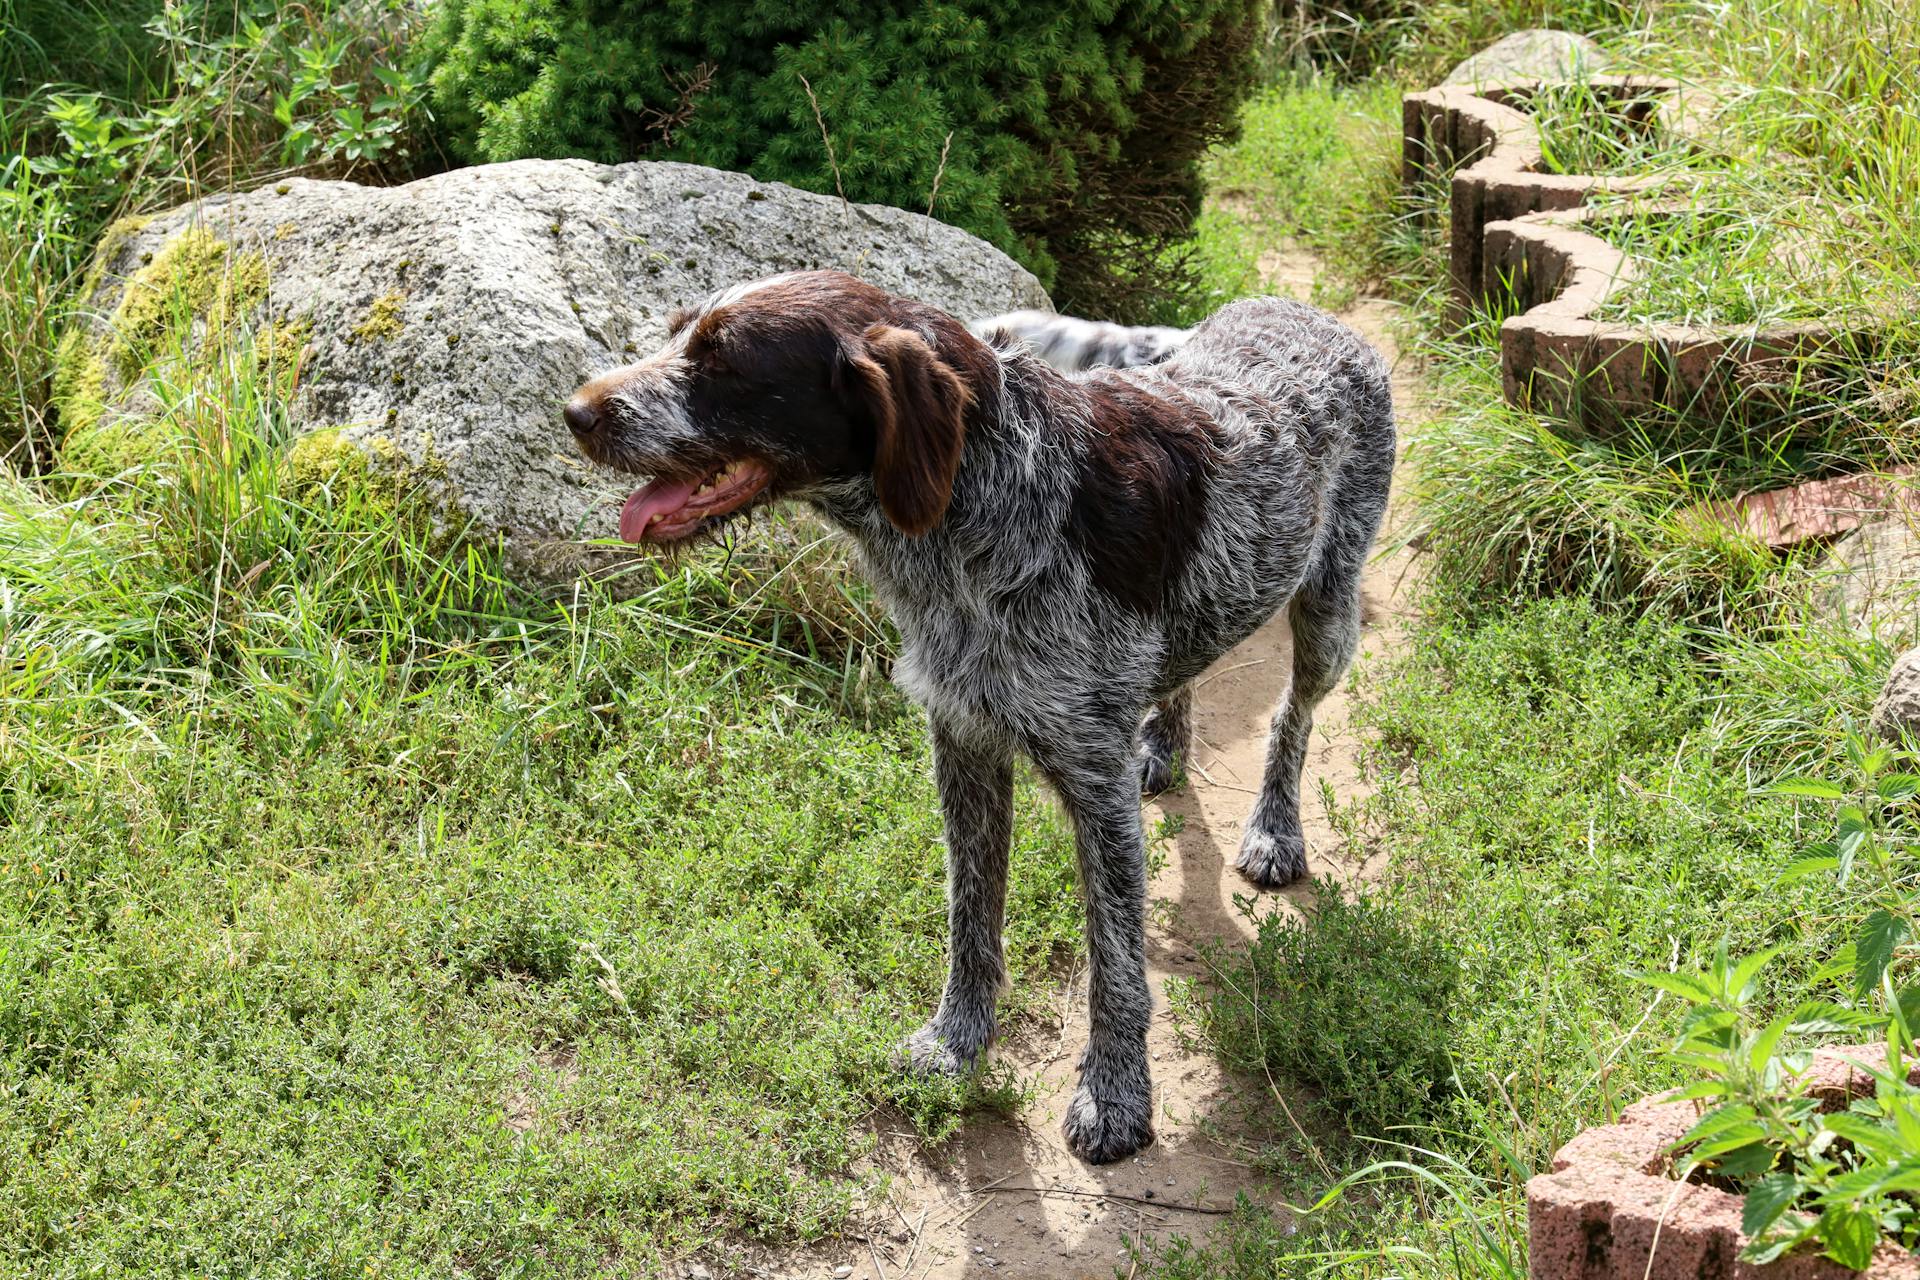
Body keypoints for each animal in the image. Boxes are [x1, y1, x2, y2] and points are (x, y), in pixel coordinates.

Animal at [560, 276, 1390, 1166]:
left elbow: (1115, 964)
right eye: (676, 333)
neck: (987, 497)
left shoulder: (1092, 780)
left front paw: (1115, 1096)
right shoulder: (962, 741)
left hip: (1329, 609)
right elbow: (971, 915)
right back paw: (1164, 744)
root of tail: (1294, 311)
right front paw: (956, 1042)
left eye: (723, 361)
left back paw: (1275, 828)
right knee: (1187, 673)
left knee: (1292, 719)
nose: (574, 411)